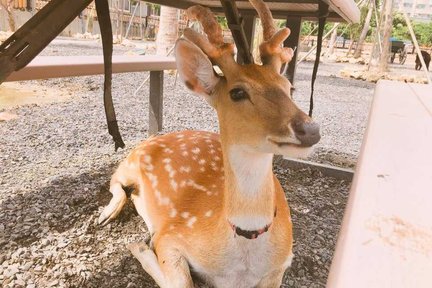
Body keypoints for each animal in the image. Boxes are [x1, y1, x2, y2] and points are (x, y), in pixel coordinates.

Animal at [98, 1, 320, 286]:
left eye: (289, 88)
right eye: (237, 92)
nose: (310, 130)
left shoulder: (283, 261)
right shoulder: (171, 234)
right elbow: (181, 279)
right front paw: (140, 246)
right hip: (131, 161)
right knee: (115, 178)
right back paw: (107, 213)